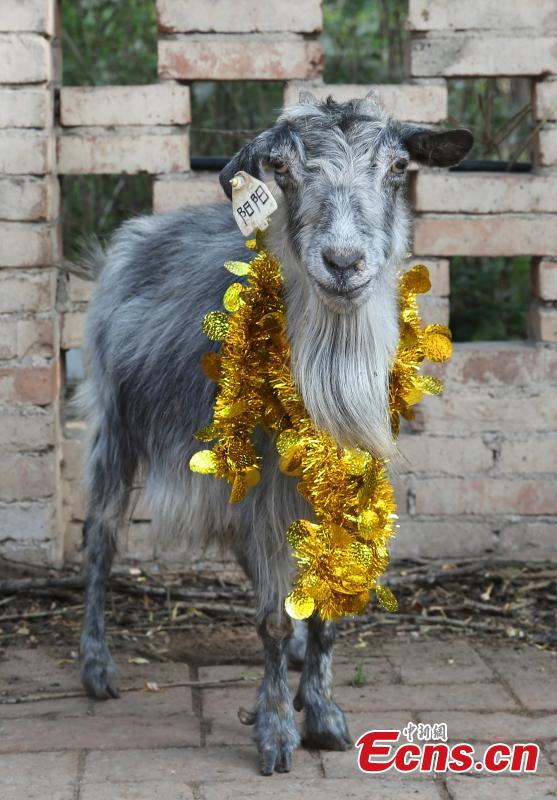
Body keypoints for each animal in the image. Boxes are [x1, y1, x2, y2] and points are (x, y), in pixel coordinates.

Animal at [77, 92, 470, 776]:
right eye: (282, 170)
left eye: (399, 167)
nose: (343, 263)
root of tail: (138, 235)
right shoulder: (262, 482)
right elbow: (271, 618)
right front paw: (279, 731)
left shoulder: (347, 482)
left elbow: (326, 608)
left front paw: (324, 712)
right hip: (115, 423)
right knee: (100, 535)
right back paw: (97, 667)